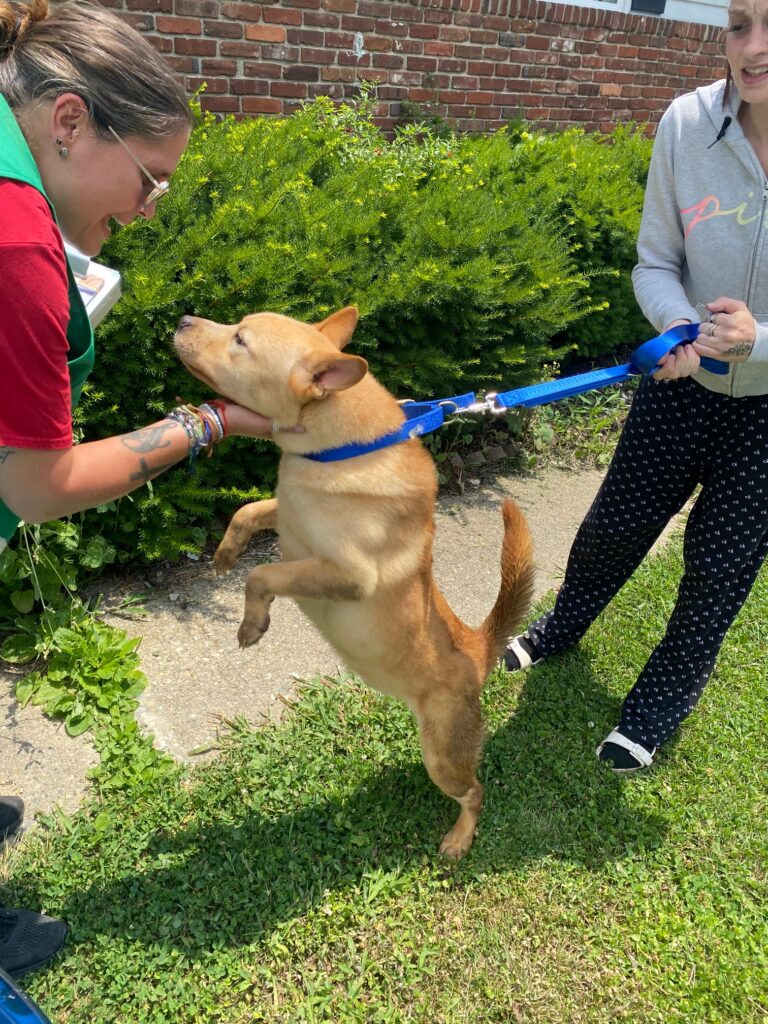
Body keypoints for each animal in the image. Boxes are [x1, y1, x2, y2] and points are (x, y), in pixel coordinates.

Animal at [174, 303, 536, 856]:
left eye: (240, 340)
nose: (182, 321)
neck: (336, 450)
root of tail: (477, 650)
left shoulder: (345, 573)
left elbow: (262, 574)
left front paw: (252, 624)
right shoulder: (291, 521)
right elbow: (246, 512)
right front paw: (224, 554)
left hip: (443, 756)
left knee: (475, 792)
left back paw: (460, 838)